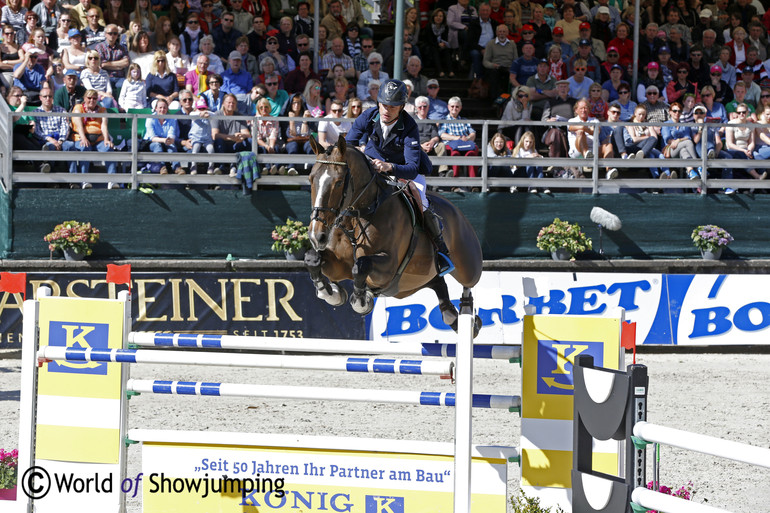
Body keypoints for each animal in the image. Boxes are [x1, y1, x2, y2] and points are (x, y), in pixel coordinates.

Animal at [300, 134, 480, 334]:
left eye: (339, 182)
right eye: (311, 179)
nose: (316, 235)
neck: (359, 214)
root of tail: (458, 212)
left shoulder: (388, 267)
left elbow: (361, 265)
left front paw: (361, 301)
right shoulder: (339, 263)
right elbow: (312, 259)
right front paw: (330, 292)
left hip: (467, 265)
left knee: (469, 282)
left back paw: (467, 313)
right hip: (413, 283)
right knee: (439, 285)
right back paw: (453, 315)